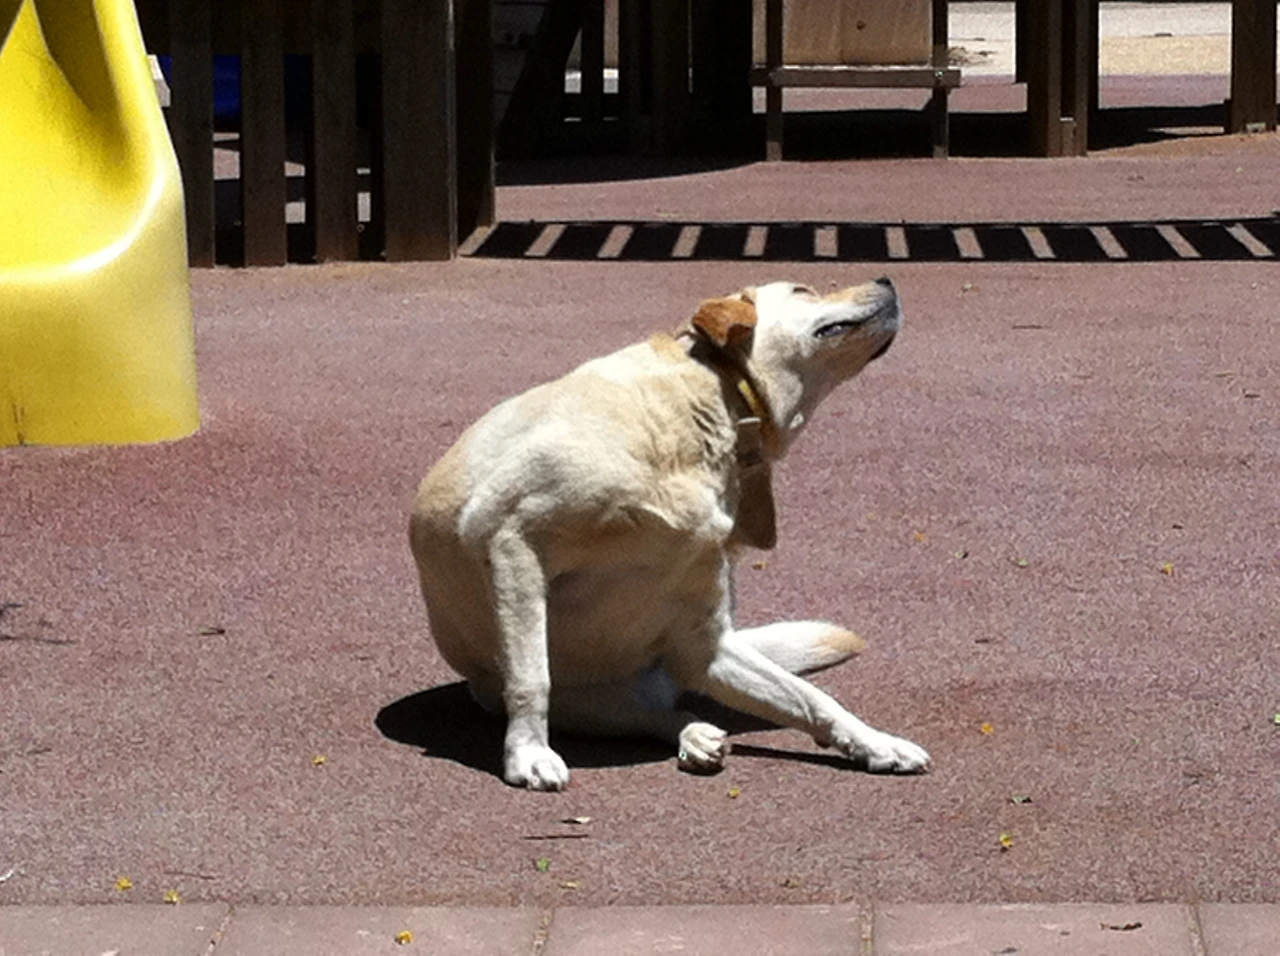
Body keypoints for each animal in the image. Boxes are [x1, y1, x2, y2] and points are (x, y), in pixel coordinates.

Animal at [410, 278, 930, 790]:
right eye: (804, 290)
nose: (887, 280)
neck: (712, 409)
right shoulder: (512, 538)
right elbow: (531, 678)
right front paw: (528, 754)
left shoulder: (704, 643)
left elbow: (813, 697)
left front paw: (877, 745)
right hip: (582, 703)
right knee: (640, 714)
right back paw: (692, 734)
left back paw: (699, 735)